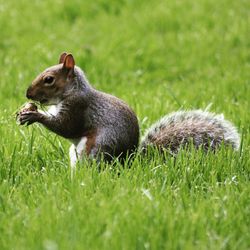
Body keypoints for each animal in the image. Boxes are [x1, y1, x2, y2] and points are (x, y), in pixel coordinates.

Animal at [17, 52, 240, 168]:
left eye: (49, 79)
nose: (27, 94)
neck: (73, 91)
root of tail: (129, 161)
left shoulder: (78, 108)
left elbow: (66, 127)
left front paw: (34, 115)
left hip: (97, 148)